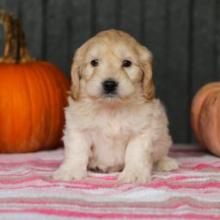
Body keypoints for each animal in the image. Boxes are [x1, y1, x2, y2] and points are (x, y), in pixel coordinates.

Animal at [53, 29, 179, 184]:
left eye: (127, 63)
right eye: (94, 62)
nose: (109, 84)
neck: (111, 108)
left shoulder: (142, 131)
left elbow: (135, 153)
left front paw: (134, 173)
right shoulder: (78, 128)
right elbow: (77, 150)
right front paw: (70, 170)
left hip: (163, 135)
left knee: (160, 153)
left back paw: (165, 162)